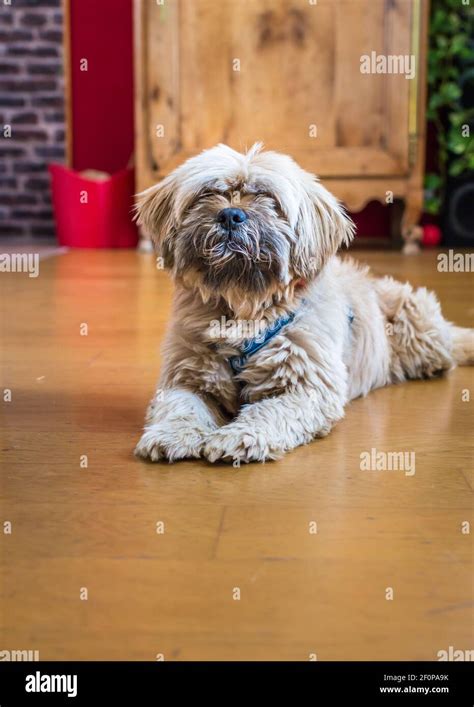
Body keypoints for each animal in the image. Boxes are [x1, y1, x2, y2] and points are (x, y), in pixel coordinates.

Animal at [134, 144, 474, 464]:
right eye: (208, 193)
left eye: (266, 197)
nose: (231, 215)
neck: (245, 308)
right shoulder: (187, 376)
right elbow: (181, 406)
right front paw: (171, 434)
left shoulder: (307, 387)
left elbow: (268, 412)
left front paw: (241, 436)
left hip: (415, 321)